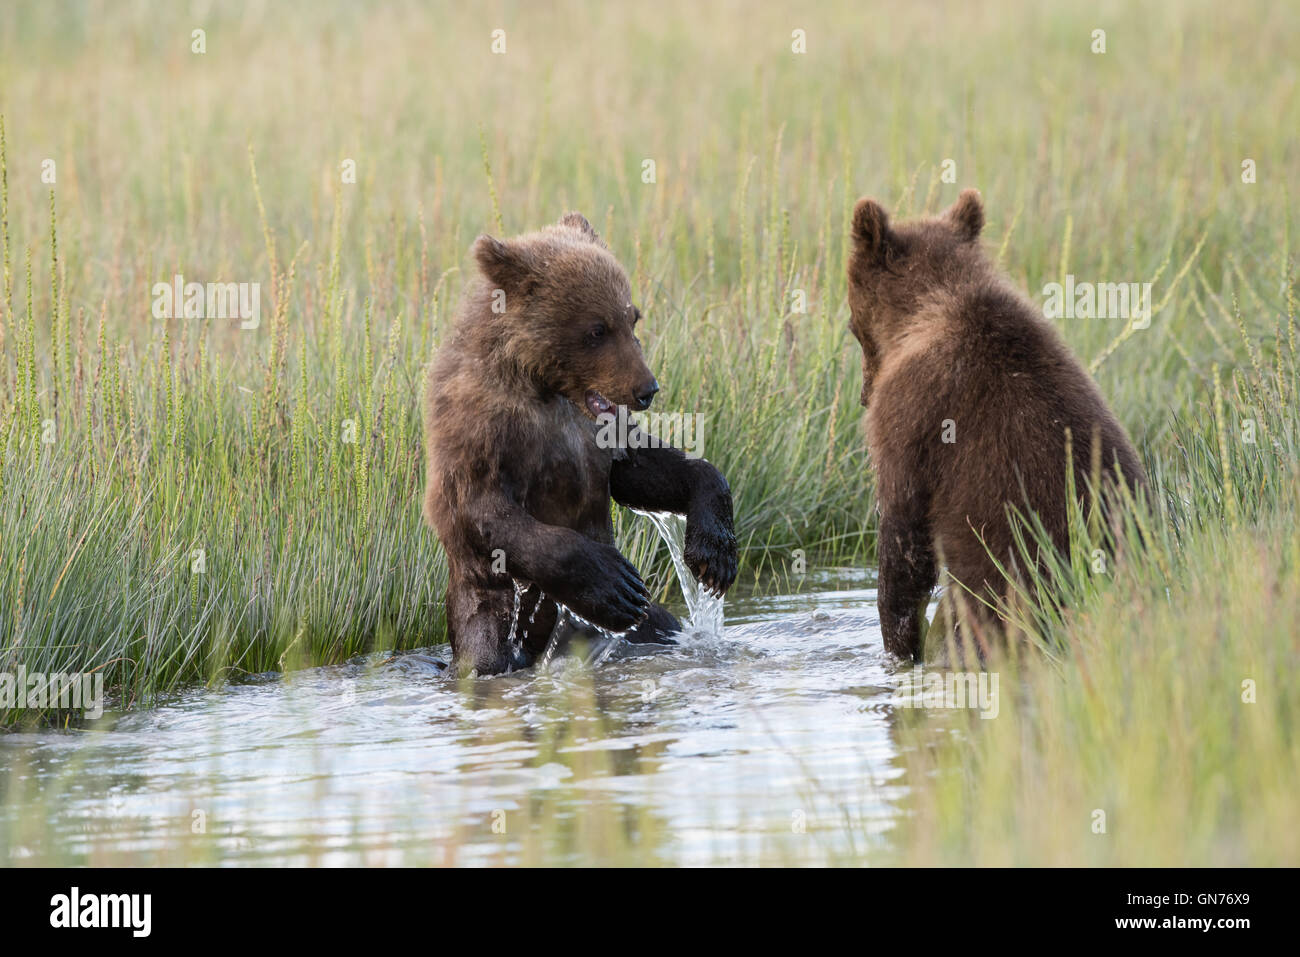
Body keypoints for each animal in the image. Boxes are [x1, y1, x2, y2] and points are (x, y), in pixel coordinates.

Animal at [423, 212, 738, 676]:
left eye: (632, 318)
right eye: (596, 329)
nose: (647, 389)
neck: (546, 389)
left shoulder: (597, 434)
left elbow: (643, 469)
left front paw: (714, 553)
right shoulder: (481, 428)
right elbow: (484, 510)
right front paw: (612, 585)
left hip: (643, 627)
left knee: (660, 625)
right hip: (485, 615)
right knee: (486, 649)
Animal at [845, 189, 1146, 661]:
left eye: (851, 326)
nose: (863, 395)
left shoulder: (912, 416)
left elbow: (904, 538)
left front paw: (898, 647)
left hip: (1002, 587)